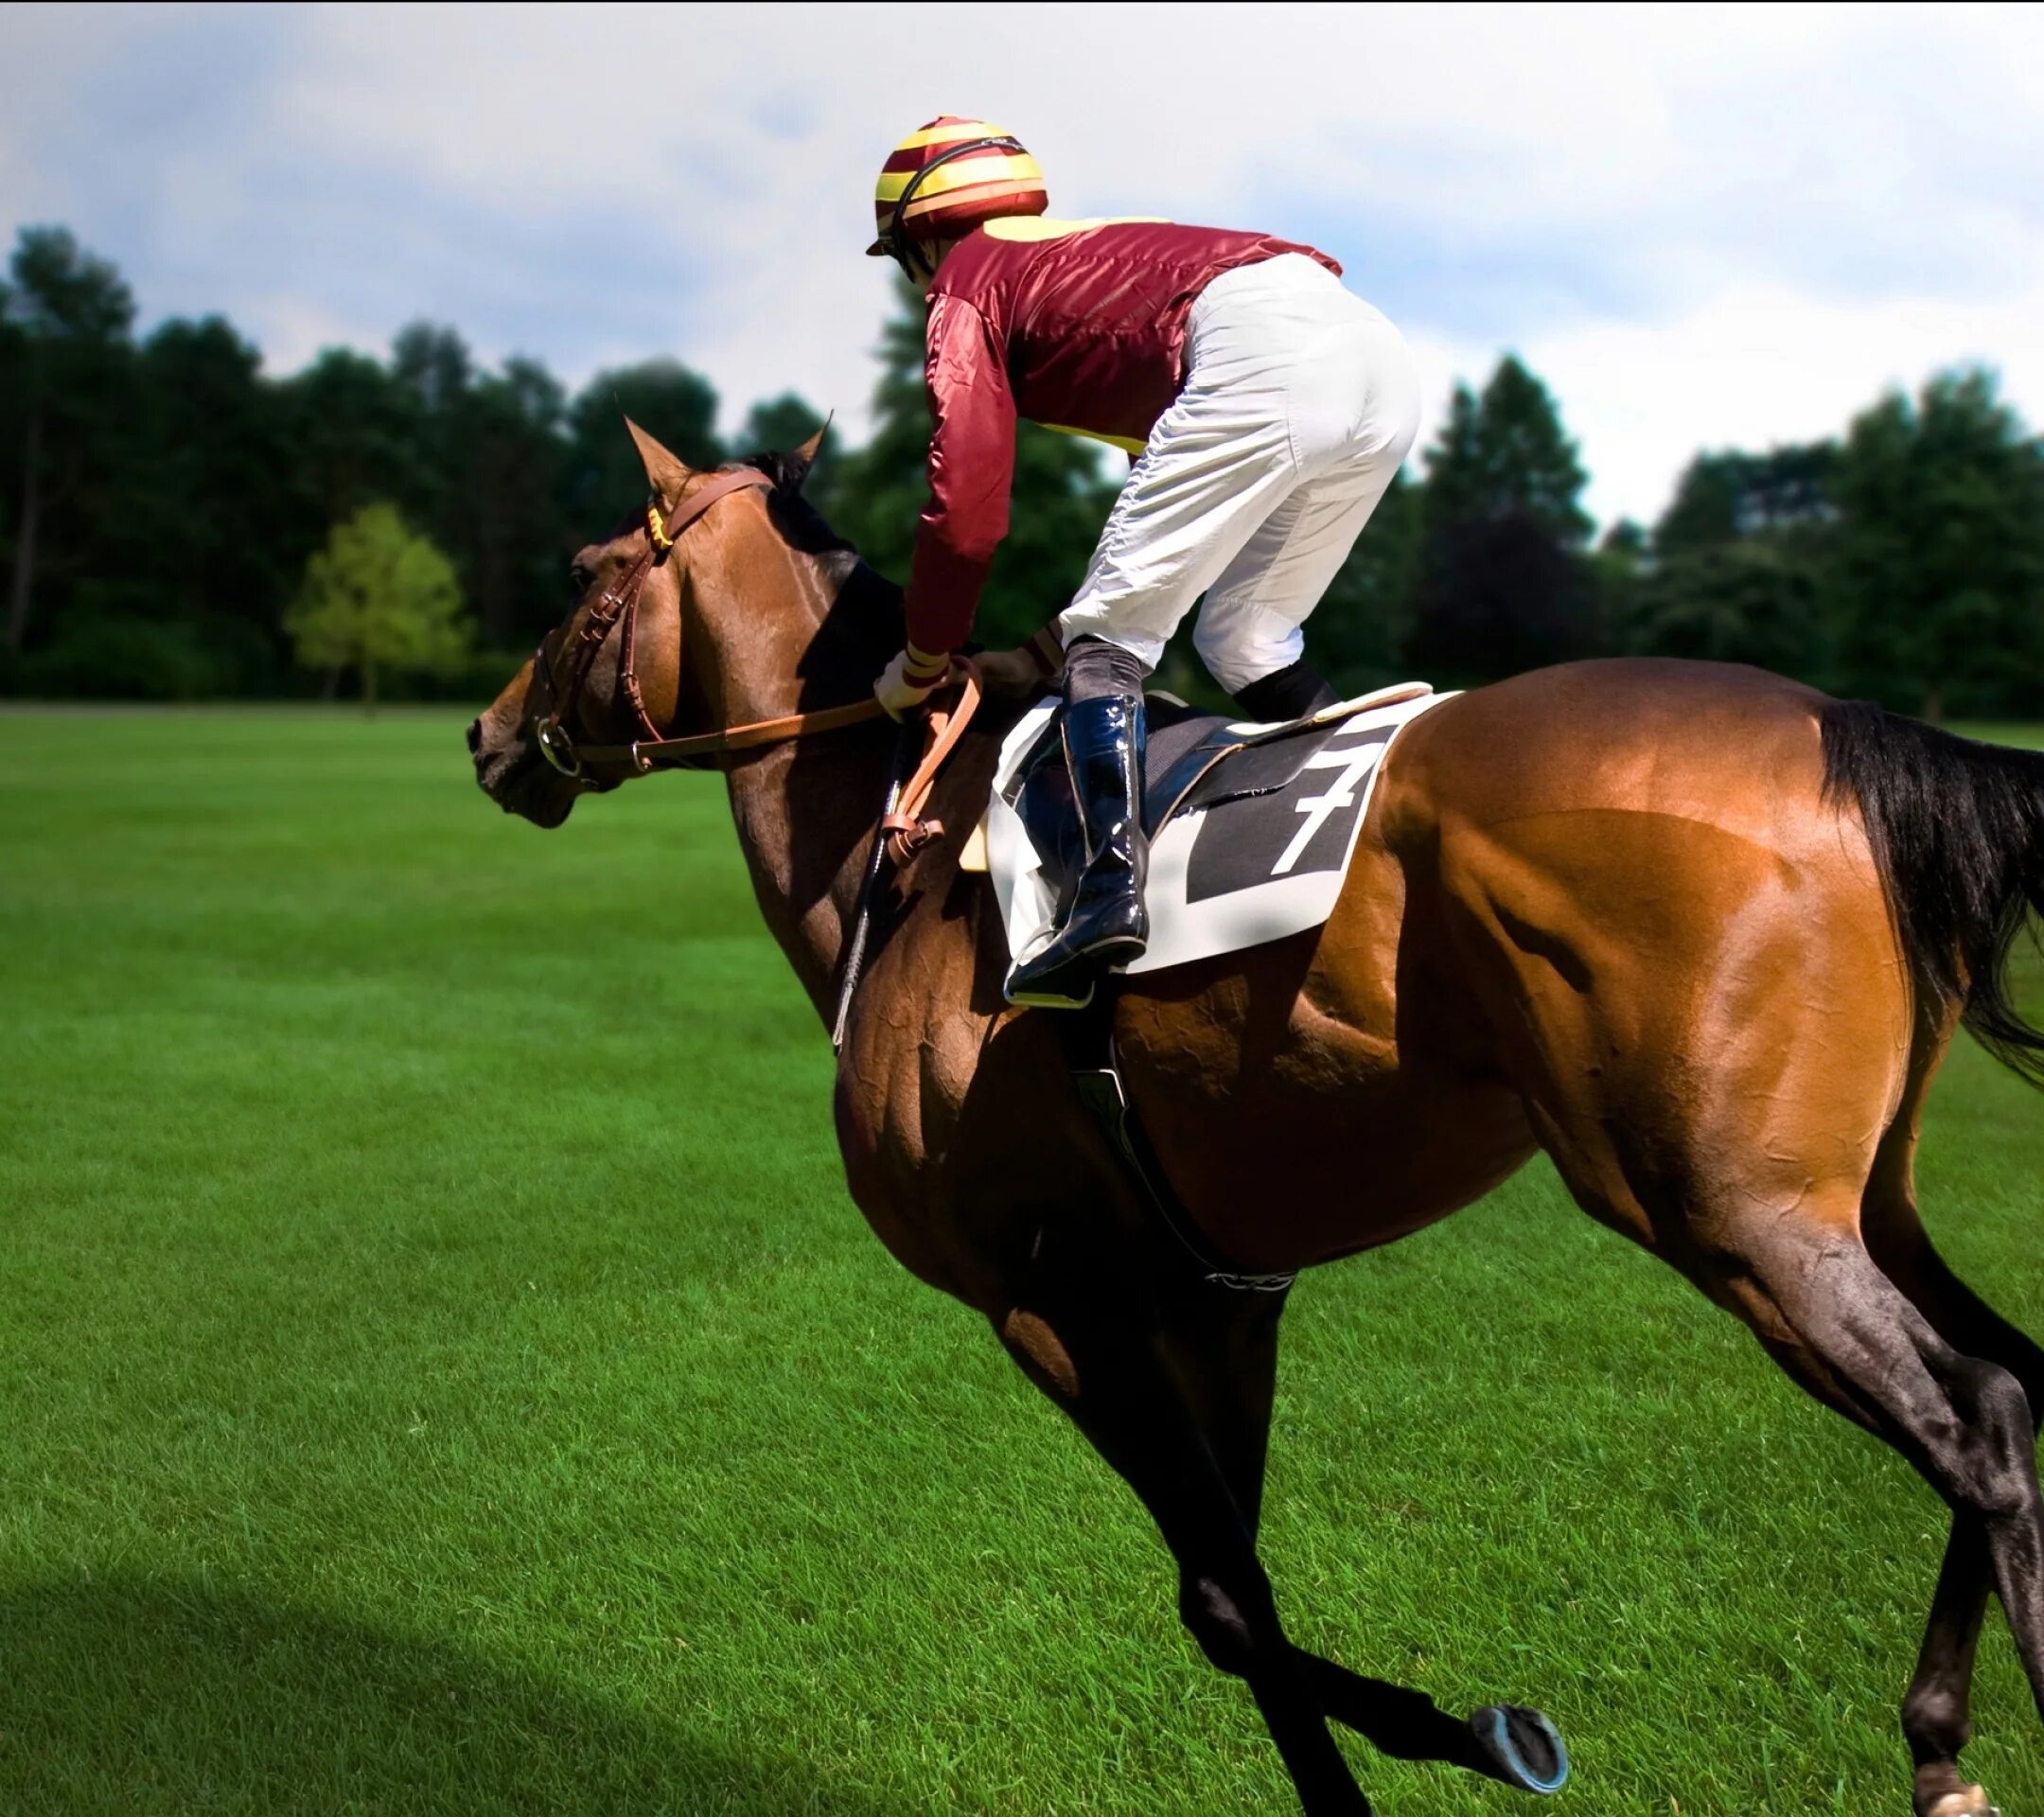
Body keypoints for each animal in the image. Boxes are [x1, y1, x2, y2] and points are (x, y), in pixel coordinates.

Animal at [469, 420, 2044, 1814]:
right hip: (1858, 1199)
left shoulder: (1051, 1296)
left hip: (1733, 1212)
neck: (898, 848)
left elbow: (1223, 1603)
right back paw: (1936, 1746)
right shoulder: (1217, 1297)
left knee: (1978, 1418)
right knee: (2021, 1373)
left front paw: (1485, 1738)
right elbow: (1244, 1594)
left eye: (583, 571)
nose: (489, 738)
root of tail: (1849, 728)